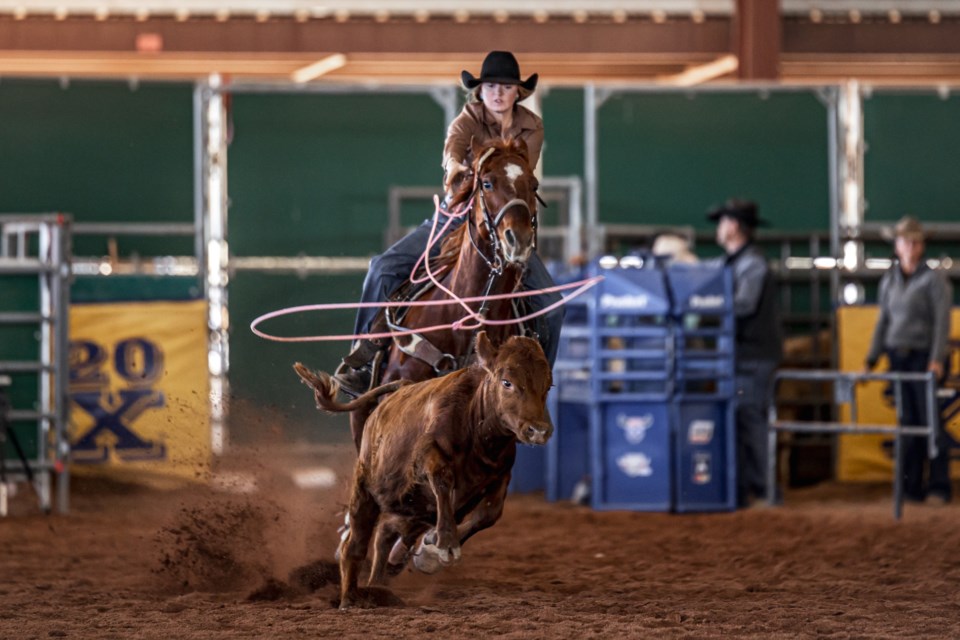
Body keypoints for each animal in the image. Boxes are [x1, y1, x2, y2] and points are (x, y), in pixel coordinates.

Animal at [292, 332, 552, 608]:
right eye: (507, 382)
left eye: (548, 386)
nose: (539, 430)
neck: (477, 428)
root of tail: (400, 388)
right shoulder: (427, 457)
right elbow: (443, 481)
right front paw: (446, 543)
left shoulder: (501, 475)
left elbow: (490, 513)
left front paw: (431, 548)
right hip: (366, 489)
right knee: (354, 546)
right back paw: (350, 598)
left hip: (409, 507)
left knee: (386, 533)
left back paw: (379, 583)